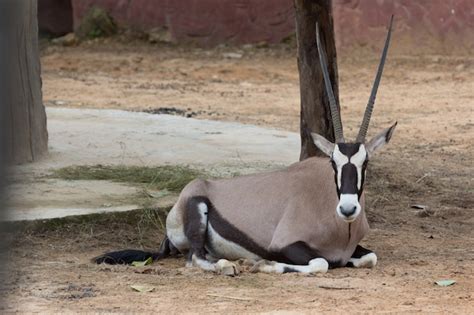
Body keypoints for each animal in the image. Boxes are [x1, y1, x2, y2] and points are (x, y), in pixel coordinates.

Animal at [95, 17, 396, 276]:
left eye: (365, 162)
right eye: (333, 162)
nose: (347, 209)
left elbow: (370, 257)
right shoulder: (285, 245)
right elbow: (321, 262)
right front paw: (263, 264)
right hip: (198, 210)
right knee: (194, 258)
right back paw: (228, 265)